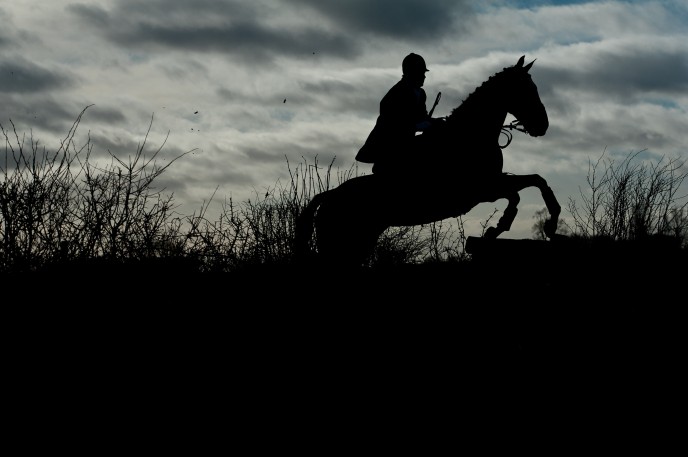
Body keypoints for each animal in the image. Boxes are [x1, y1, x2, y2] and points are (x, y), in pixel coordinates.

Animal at [294, 55, 560, 266]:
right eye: (526, 89)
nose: (543, 125)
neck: (470, 135)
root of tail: (328, 196)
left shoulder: (492, 183)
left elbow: (538, 181)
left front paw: (548, 226)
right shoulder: (481, 189)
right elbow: (517, 194)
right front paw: (500, 227)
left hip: (358, 243)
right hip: (341, 244)